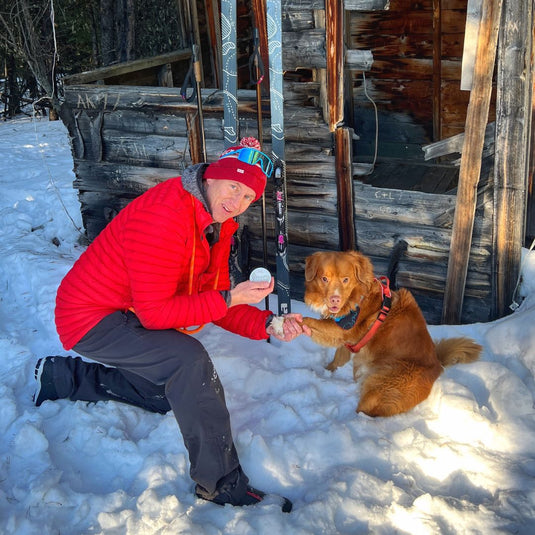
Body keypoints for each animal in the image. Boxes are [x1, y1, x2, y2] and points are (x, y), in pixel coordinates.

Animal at [304, 251, 484, 418]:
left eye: (345, 279)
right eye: (324, 279)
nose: (334, 300)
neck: (358, 298)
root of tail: (437, 365)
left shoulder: (342, 329)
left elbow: (309, 321)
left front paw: (296, 322)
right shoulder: (345, 338)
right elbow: (338, 358)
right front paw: (326, 371)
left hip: (380, 387)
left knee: (367, 410)